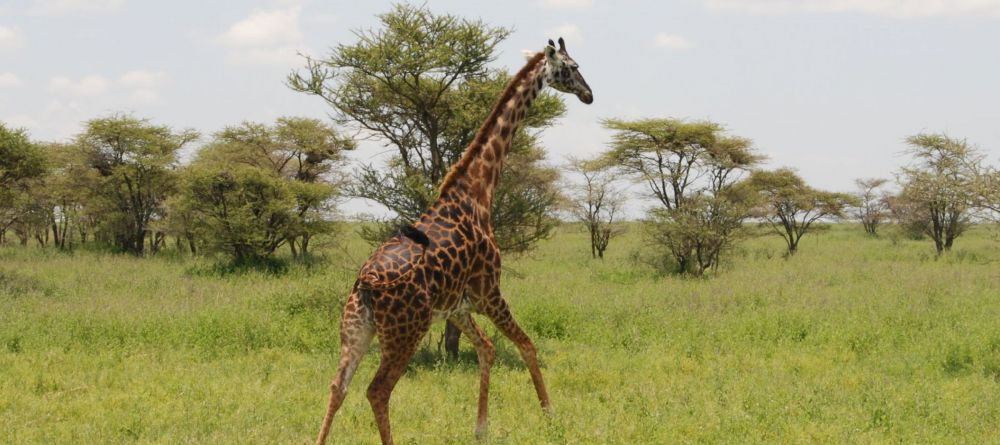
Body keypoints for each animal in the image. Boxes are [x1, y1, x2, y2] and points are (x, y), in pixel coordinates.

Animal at [316, 39, 588, 444]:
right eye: (571, 68)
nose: (589, 94)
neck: (478, 190)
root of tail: (366, 283)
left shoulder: (457, 307)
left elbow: (487, 350)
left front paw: (481, 427)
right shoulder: (489, 291)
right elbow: (527, 345)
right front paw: (550, 416)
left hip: (355, 331)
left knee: (338, 387)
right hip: (405, 332)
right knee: (377, 390)